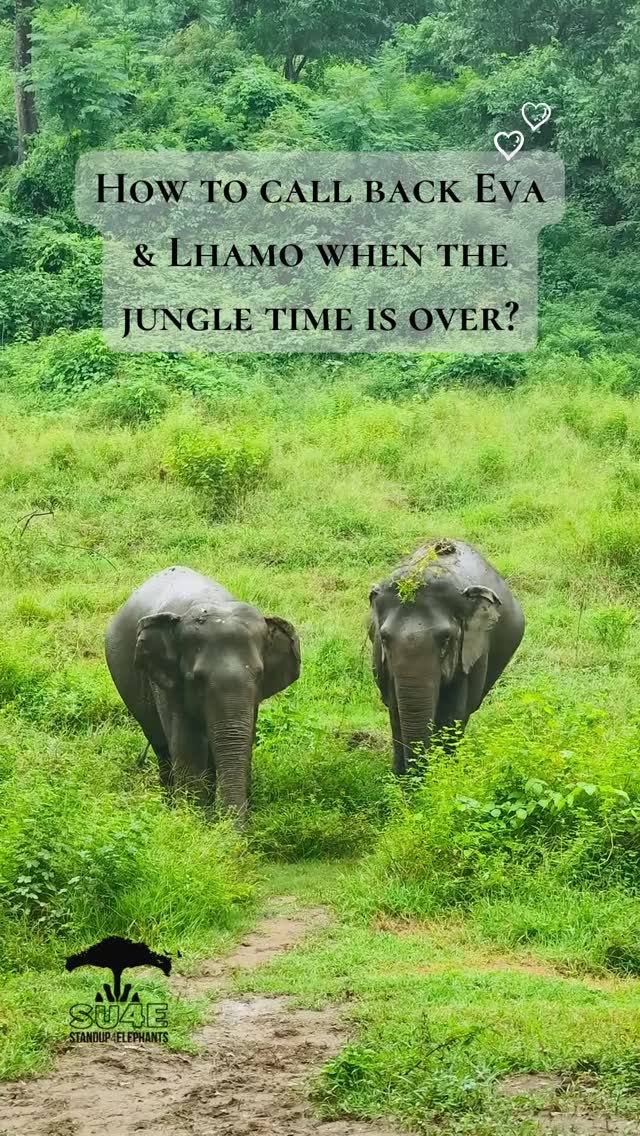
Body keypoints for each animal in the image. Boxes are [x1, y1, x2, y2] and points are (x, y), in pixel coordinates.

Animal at [105, 566, 301, 823]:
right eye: (196, 678)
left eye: (259, 675)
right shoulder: (169, 686)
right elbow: (188, 747)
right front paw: (195, 823)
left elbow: (244, 742)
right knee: (162, 748)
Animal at [368, 539, 524, 773]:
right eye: (384, 639)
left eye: (445, 640)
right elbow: (395, 711)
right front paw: (399, 777)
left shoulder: (472, 655)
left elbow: (453, 714)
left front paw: (444, 775)